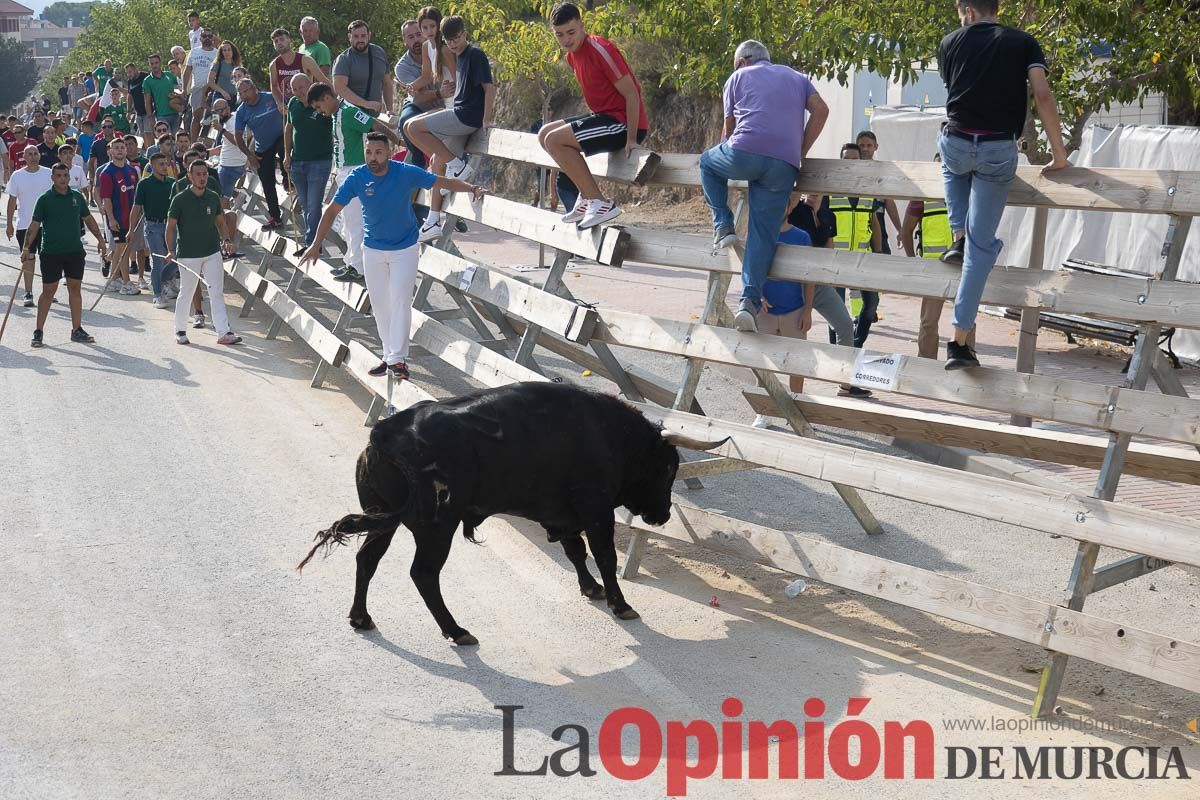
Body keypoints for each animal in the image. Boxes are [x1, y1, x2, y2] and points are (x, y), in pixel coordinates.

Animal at [302, 381, 729, 642]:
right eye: (669, 468)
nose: (663, 516)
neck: (608, 434)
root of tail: (385, 434)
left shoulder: (561, 514)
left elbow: (576, 551)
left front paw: (590, 589)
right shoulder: (595, 511)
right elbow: (604, 556)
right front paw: (620, 603)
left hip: (382, 518)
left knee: (367, 559)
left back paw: (361, 617)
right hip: (437, 528)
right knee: (423, 574)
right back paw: (456, 630)